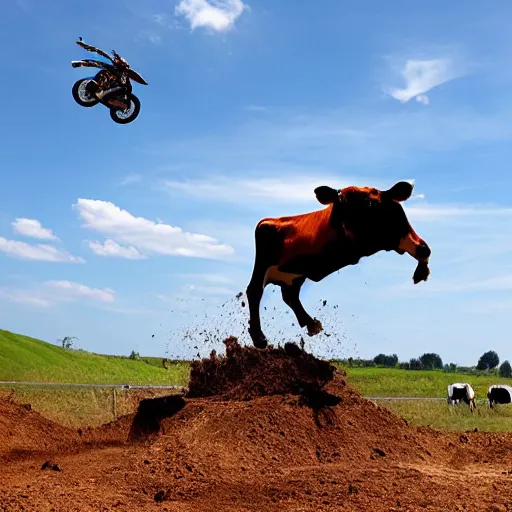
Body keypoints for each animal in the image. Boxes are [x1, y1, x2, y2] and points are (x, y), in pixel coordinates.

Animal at [246, 180, 430, 348]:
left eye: (371, 204)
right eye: (341, 205)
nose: (351, 235)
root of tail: (270, 221)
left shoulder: (401, 229)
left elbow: (423, 249)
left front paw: (421, 272)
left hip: (295, 275)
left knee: (290, 295)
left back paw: (311, 324)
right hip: (264, 263)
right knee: (255, 291)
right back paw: (259, 338)